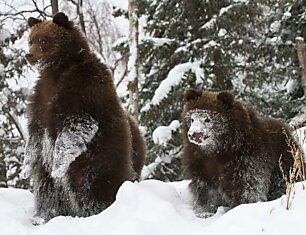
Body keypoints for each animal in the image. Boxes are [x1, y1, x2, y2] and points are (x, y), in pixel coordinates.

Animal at [20, 12, 146, 224]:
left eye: (44, 40)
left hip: (99, 161)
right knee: (47, 190)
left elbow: (75, 127)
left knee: (94, 190)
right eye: (31, 40)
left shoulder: (83, 91)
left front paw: (58, 166)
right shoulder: (40, 100)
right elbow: (35, 135)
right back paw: (44, 216)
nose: (29, 55)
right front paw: (25, 166)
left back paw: (94, 212)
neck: (57, 70)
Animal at [182, 89, 298, 218]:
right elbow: (204, 189)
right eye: (192, 119)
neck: (217, 150)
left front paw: (240, 208)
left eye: (208, 119)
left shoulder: (246, 159)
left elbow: (248, 187)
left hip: (283, 161)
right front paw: (204, 211)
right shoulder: (200, 163)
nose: (194, 134)